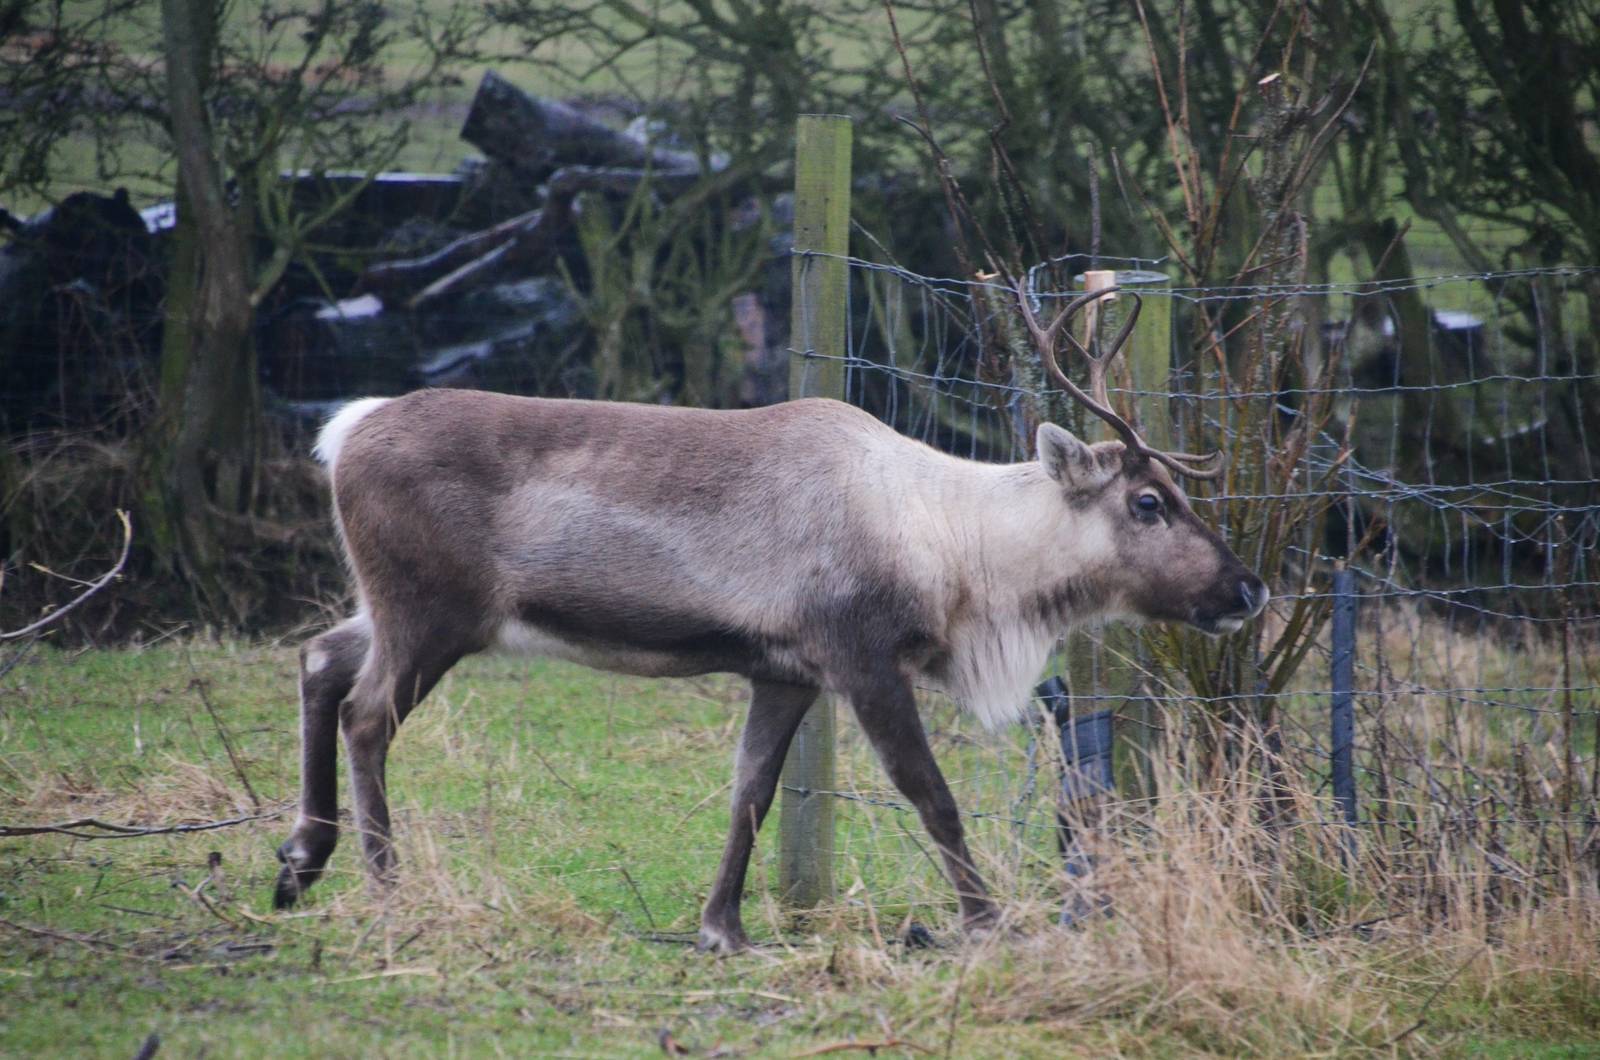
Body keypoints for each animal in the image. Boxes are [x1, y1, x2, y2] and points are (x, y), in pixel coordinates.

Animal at [272, 283, 1269, 954]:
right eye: (1148, 502)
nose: (1249, 590)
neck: (955, 552)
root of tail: (343, 431)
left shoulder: (783, 668)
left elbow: (751, 790)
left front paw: (722, 928)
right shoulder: (863, 656)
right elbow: (931, 794)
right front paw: (988, 925)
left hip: (399, 605)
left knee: (319, 658)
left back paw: (300, 862)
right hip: (434, 610)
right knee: (367, 712)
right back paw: (386, 888)